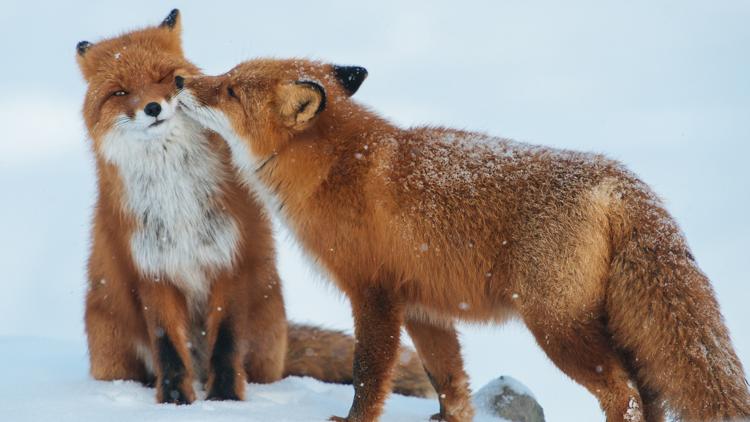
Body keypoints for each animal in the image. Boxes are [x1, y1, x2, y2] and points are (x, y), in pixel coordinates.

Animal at [178, 56, 750, 422]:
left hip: (557, 327)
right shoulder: (423, 307)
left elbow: (368, 376)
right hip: (610, 325)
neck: (336, 167)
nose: (181, 80)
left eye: (229, 89)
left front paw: (354, 420)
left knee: (623, 394)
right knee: (649, 394)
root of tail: (617, 178)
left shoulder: (374, 295)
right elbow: (449, 383)